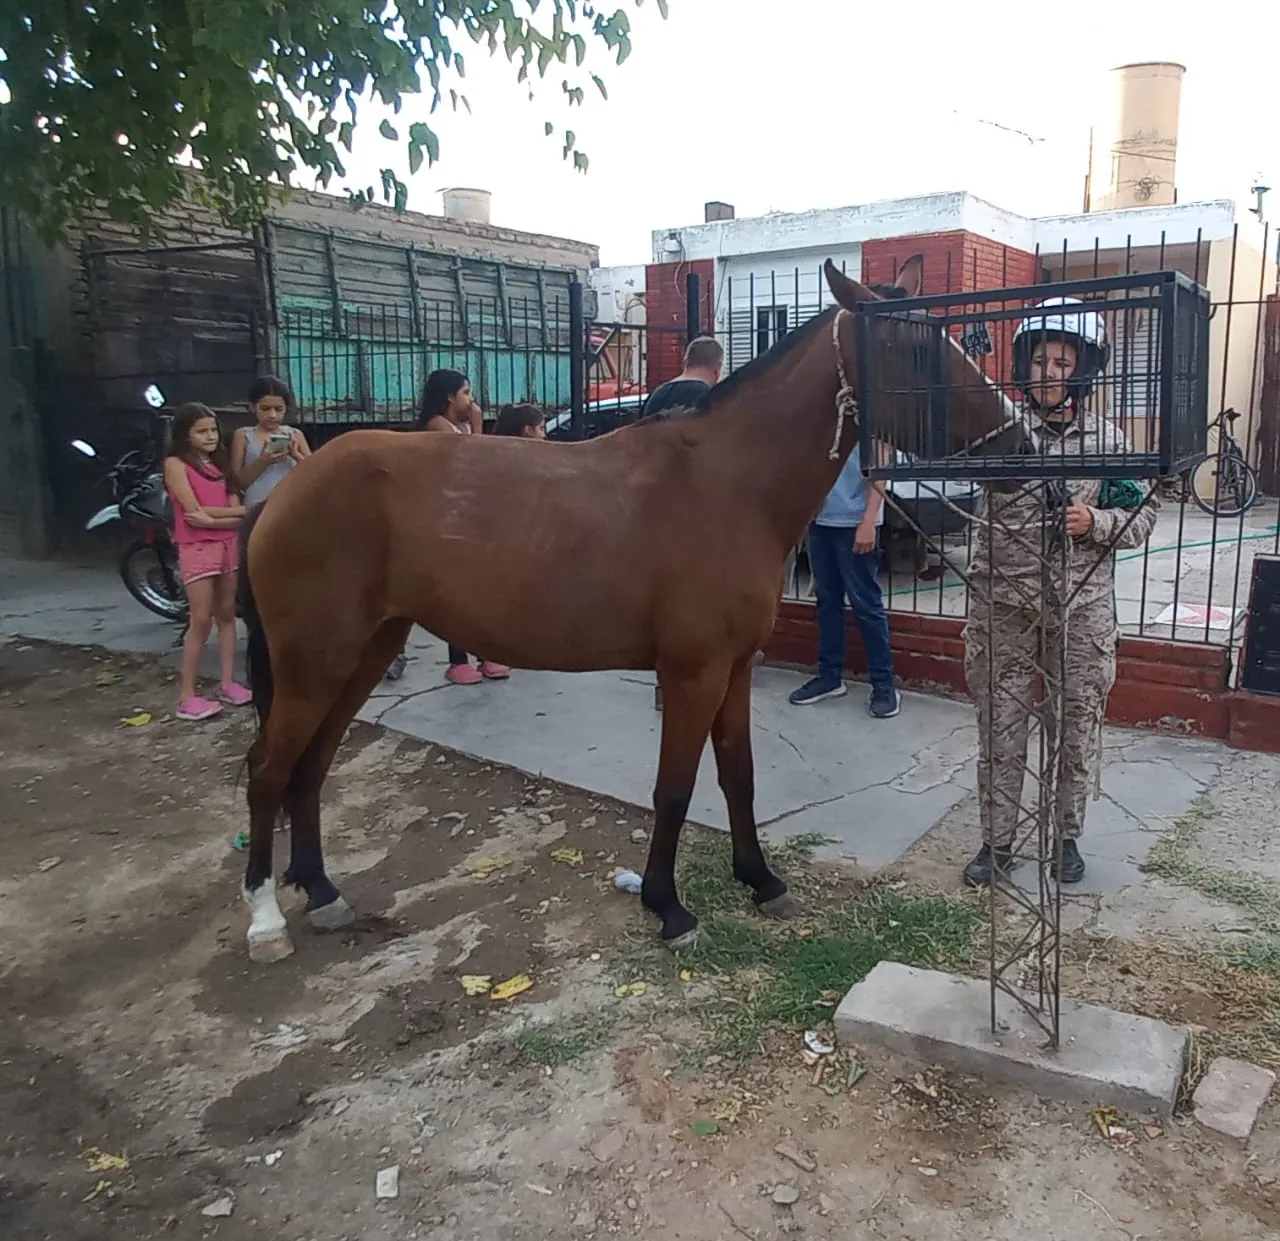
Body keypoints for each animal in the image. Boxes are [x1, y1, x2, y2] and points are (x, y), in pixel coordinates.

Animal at [236, 256, 1028, 963]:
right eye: (915, 347)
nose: (1022, 443)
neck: (726, 484)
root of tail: (286, 488)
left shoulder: (736, 668)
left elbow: (738, 774)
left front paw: (760, 880)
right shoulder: (691, 673)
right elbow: (674, 788)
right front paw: (668, 907)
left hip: (365, 650)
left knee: (312, 765)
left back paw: (323, 891)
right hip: (316, 662)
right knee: (269, 768)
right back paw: (266, 919)